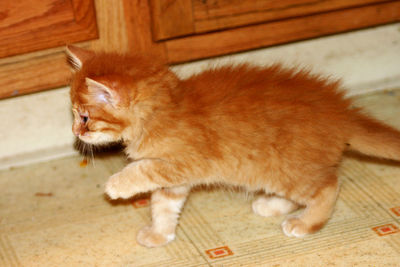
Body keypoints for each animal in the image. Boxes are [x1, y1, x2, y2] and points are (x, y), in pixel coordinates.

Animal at [67, 45, 400, 248]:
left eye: (84, 117)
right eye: (74, 115)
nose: (74, 132)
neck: (163, 111)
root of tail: (342, 112)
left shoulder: (184, 163)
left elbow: (141, 169)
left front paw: (116, 185)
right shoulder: (174, 181)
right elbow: (163, 206)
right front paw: (160, 234)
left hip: (288, 169)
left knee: (328, 186)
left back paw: (306, 224)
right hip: (275, 170)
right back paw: (272, 205)